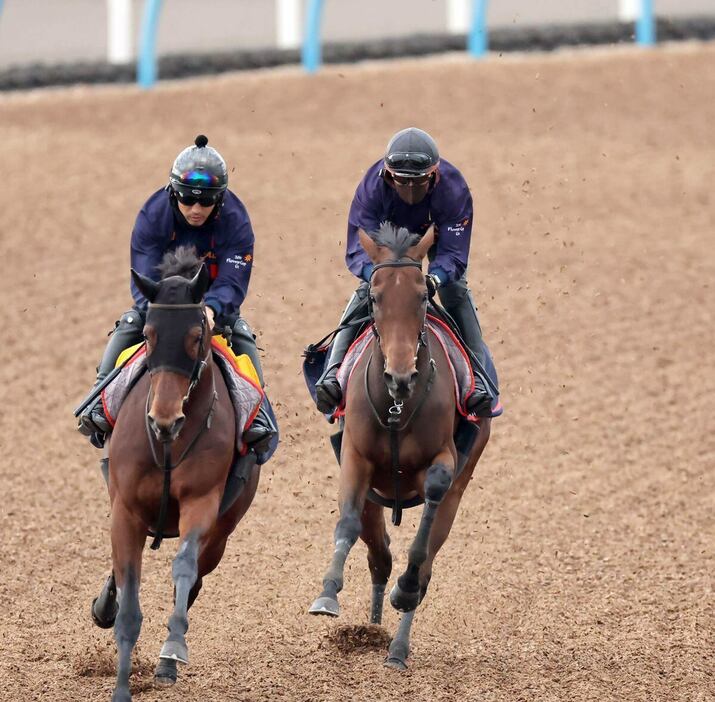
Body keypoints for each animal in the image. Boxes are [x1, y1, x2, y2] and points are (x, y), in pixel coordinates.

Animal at [310, 224, 496, 672]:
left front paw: (405, 592)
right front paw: (327, 594)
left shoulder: (445, 460)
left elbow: (429, 515)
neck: (398, 405)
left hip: (459, 485)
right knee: (380, 557)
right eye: (375, 297)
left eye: (422, 297)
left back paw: (396, 647)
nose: (400, 375)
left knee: (423, 562)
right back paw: (373, 628)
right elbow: (347, 524)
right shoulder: (355, 459)